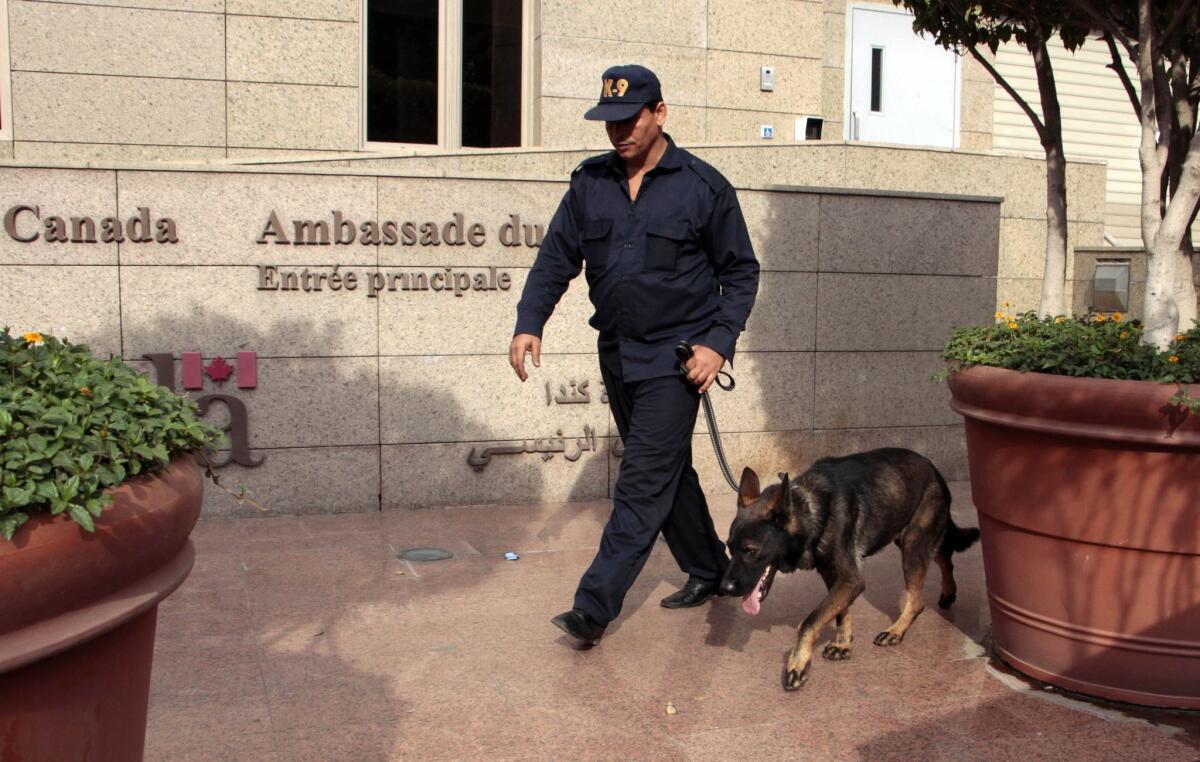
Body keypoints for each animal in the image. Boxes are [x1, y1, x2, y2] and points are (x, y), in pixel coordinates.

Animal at [715, 446, 979, 691]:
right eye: (729, 548)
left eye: (750, 551)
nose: (723, 588)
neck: (811, 510)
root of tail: (933, 468)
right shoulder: (834, 576)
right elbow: (840, 612)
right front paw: (843, 644)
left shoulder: (851, 580)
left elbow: (811, 619)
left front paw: (797, 663)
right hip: (907, 537)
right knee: (945, 555)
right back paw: (948, 591)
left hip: (913, 545)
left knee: (918, 599)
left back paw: (896, 631)